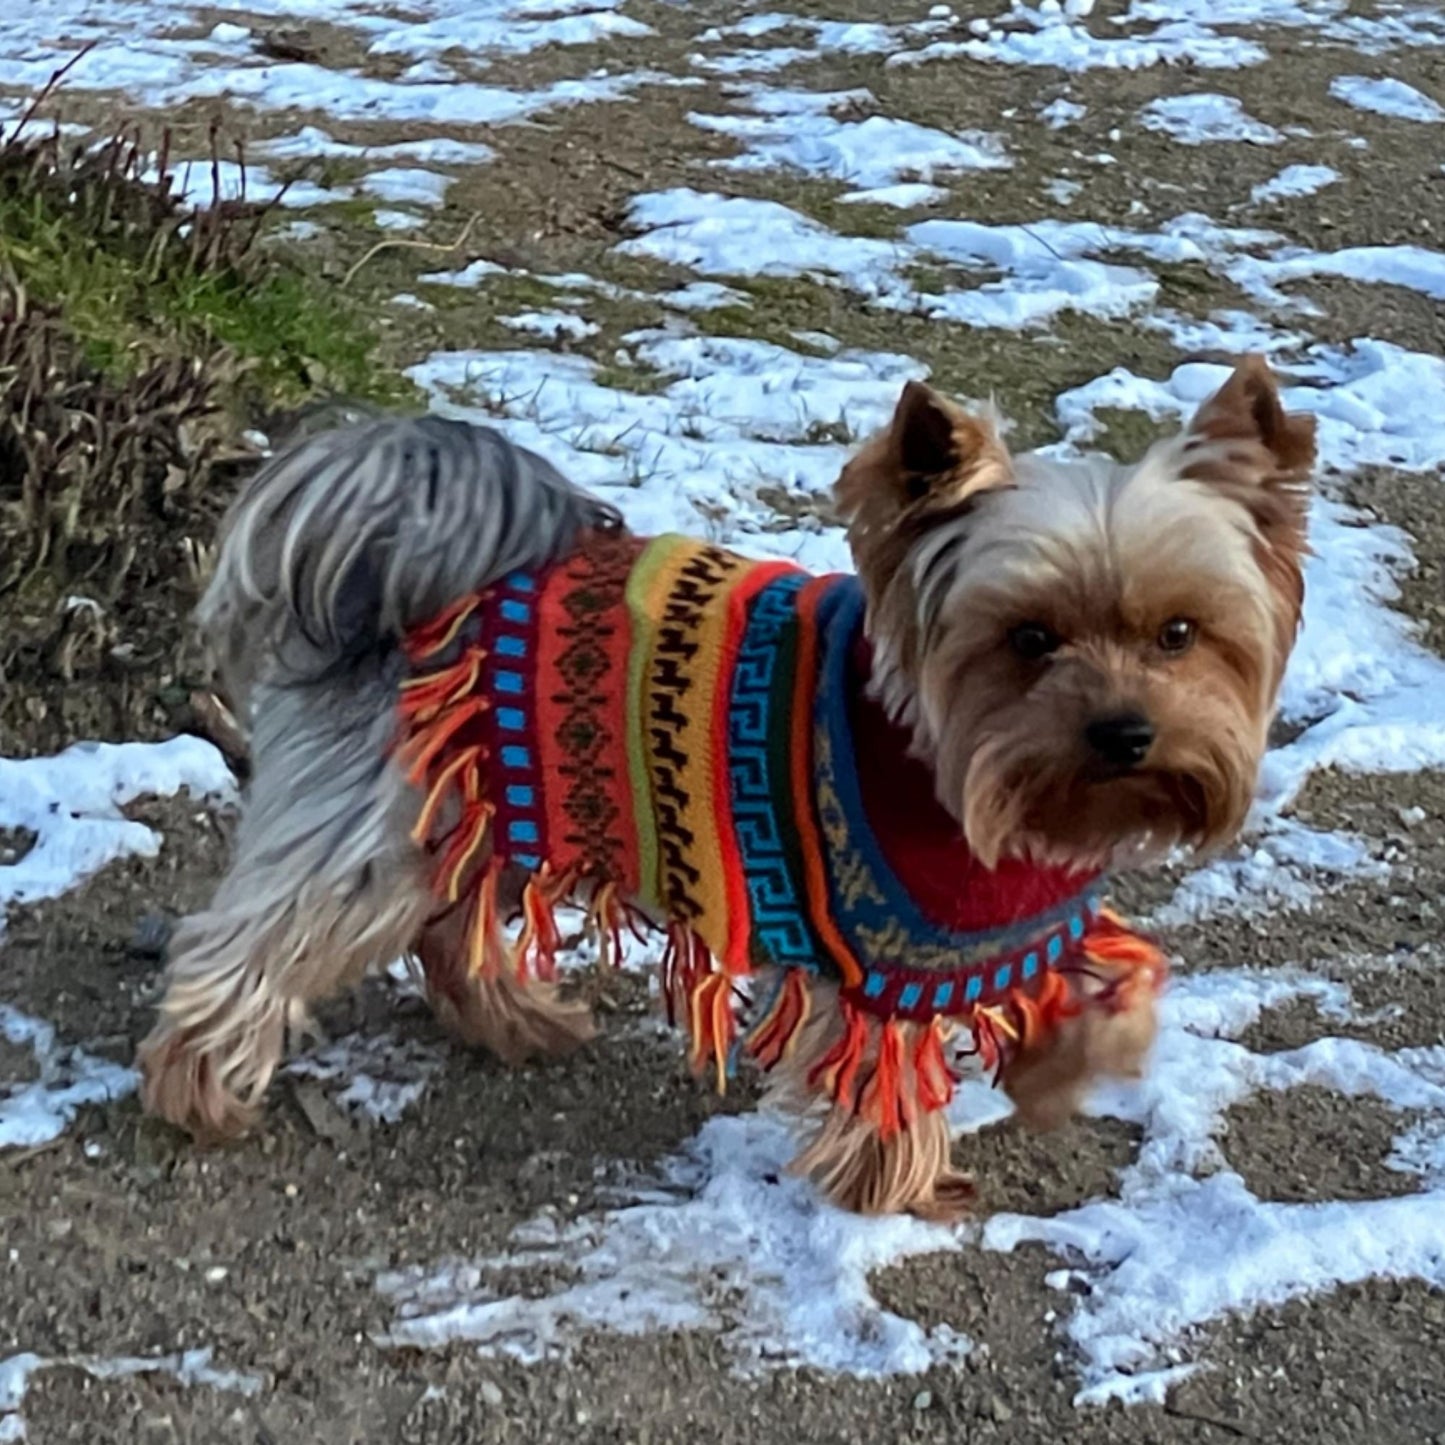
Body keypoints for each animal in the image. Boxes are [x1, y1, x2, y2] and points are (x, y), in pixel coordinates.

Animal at [140, 361, 1317, 1219]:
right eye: (1028, 639)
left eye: (1178, 633)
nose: (1123, 733)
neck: (959, 763)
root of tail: (393, 565)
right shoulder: (882, 953)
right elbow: (884, 1084)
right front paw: (895, 1186)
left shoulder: (1016, 915)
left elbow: (1107, 995)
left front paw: (1064, 1073)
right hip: (375, 828)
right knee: (248, 941)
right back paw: (199, 1086)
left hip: (484, 802)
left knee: (449, 923)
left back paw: (515, 1016)